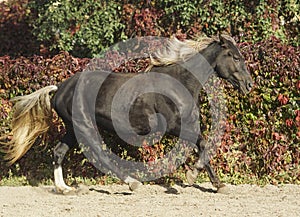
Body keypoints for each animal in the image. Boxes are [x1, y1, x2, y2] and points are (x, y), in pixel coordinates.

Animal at [1, 34, 253, 194]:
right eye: (236, 57)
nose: (249, 85)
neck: (179, 83)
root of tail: (60, 89)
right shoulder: (173, 126)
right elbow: (200, 144)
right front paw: (192, 178)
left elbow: (202, 144)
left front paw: (217, 184)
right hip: (85, 125)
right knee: (101, 155)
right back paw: (132, 183)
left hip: (73, 128)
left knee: (59, 151)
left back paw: (65, 189)